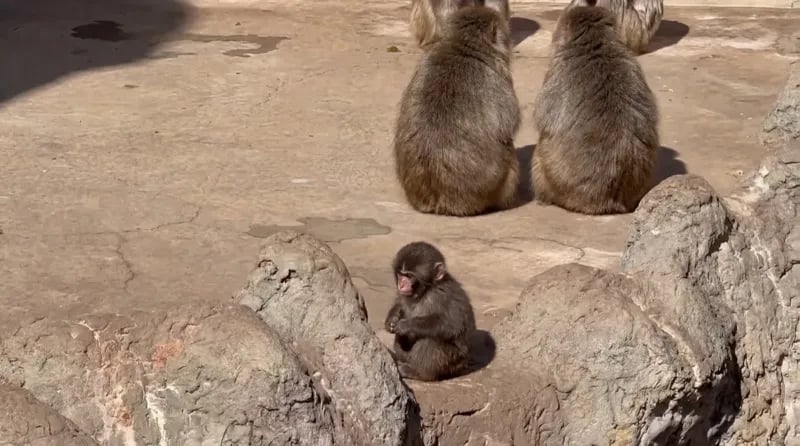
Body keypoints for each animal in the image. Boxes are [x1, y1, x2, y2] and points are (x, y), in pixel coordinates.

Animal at [384, 242, 476, 381]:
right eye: (401, 274)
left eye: (409, 276)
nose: (401, 284)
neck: (426, 290)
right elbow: (400, 302)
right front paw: (392, 317)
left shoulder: (442, 295)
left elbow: (452, 325)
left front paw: (407, 325)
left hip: (452, 364)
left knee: (431, 339)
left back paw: (419, 373)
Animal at [394, 5, 521, 217]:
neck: (462, 45)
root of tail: (443, 202)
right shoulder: (499, 76)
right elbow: (509, 125)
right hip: (493, 187)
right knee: (508, 150)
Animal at [531, 4, 659, 215]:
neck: (597, 44)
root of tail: (608, 202)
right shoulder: (633, 65)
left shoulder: (557, 70)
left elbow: (543, 120)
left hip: (554, 179)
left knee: (539, 155)